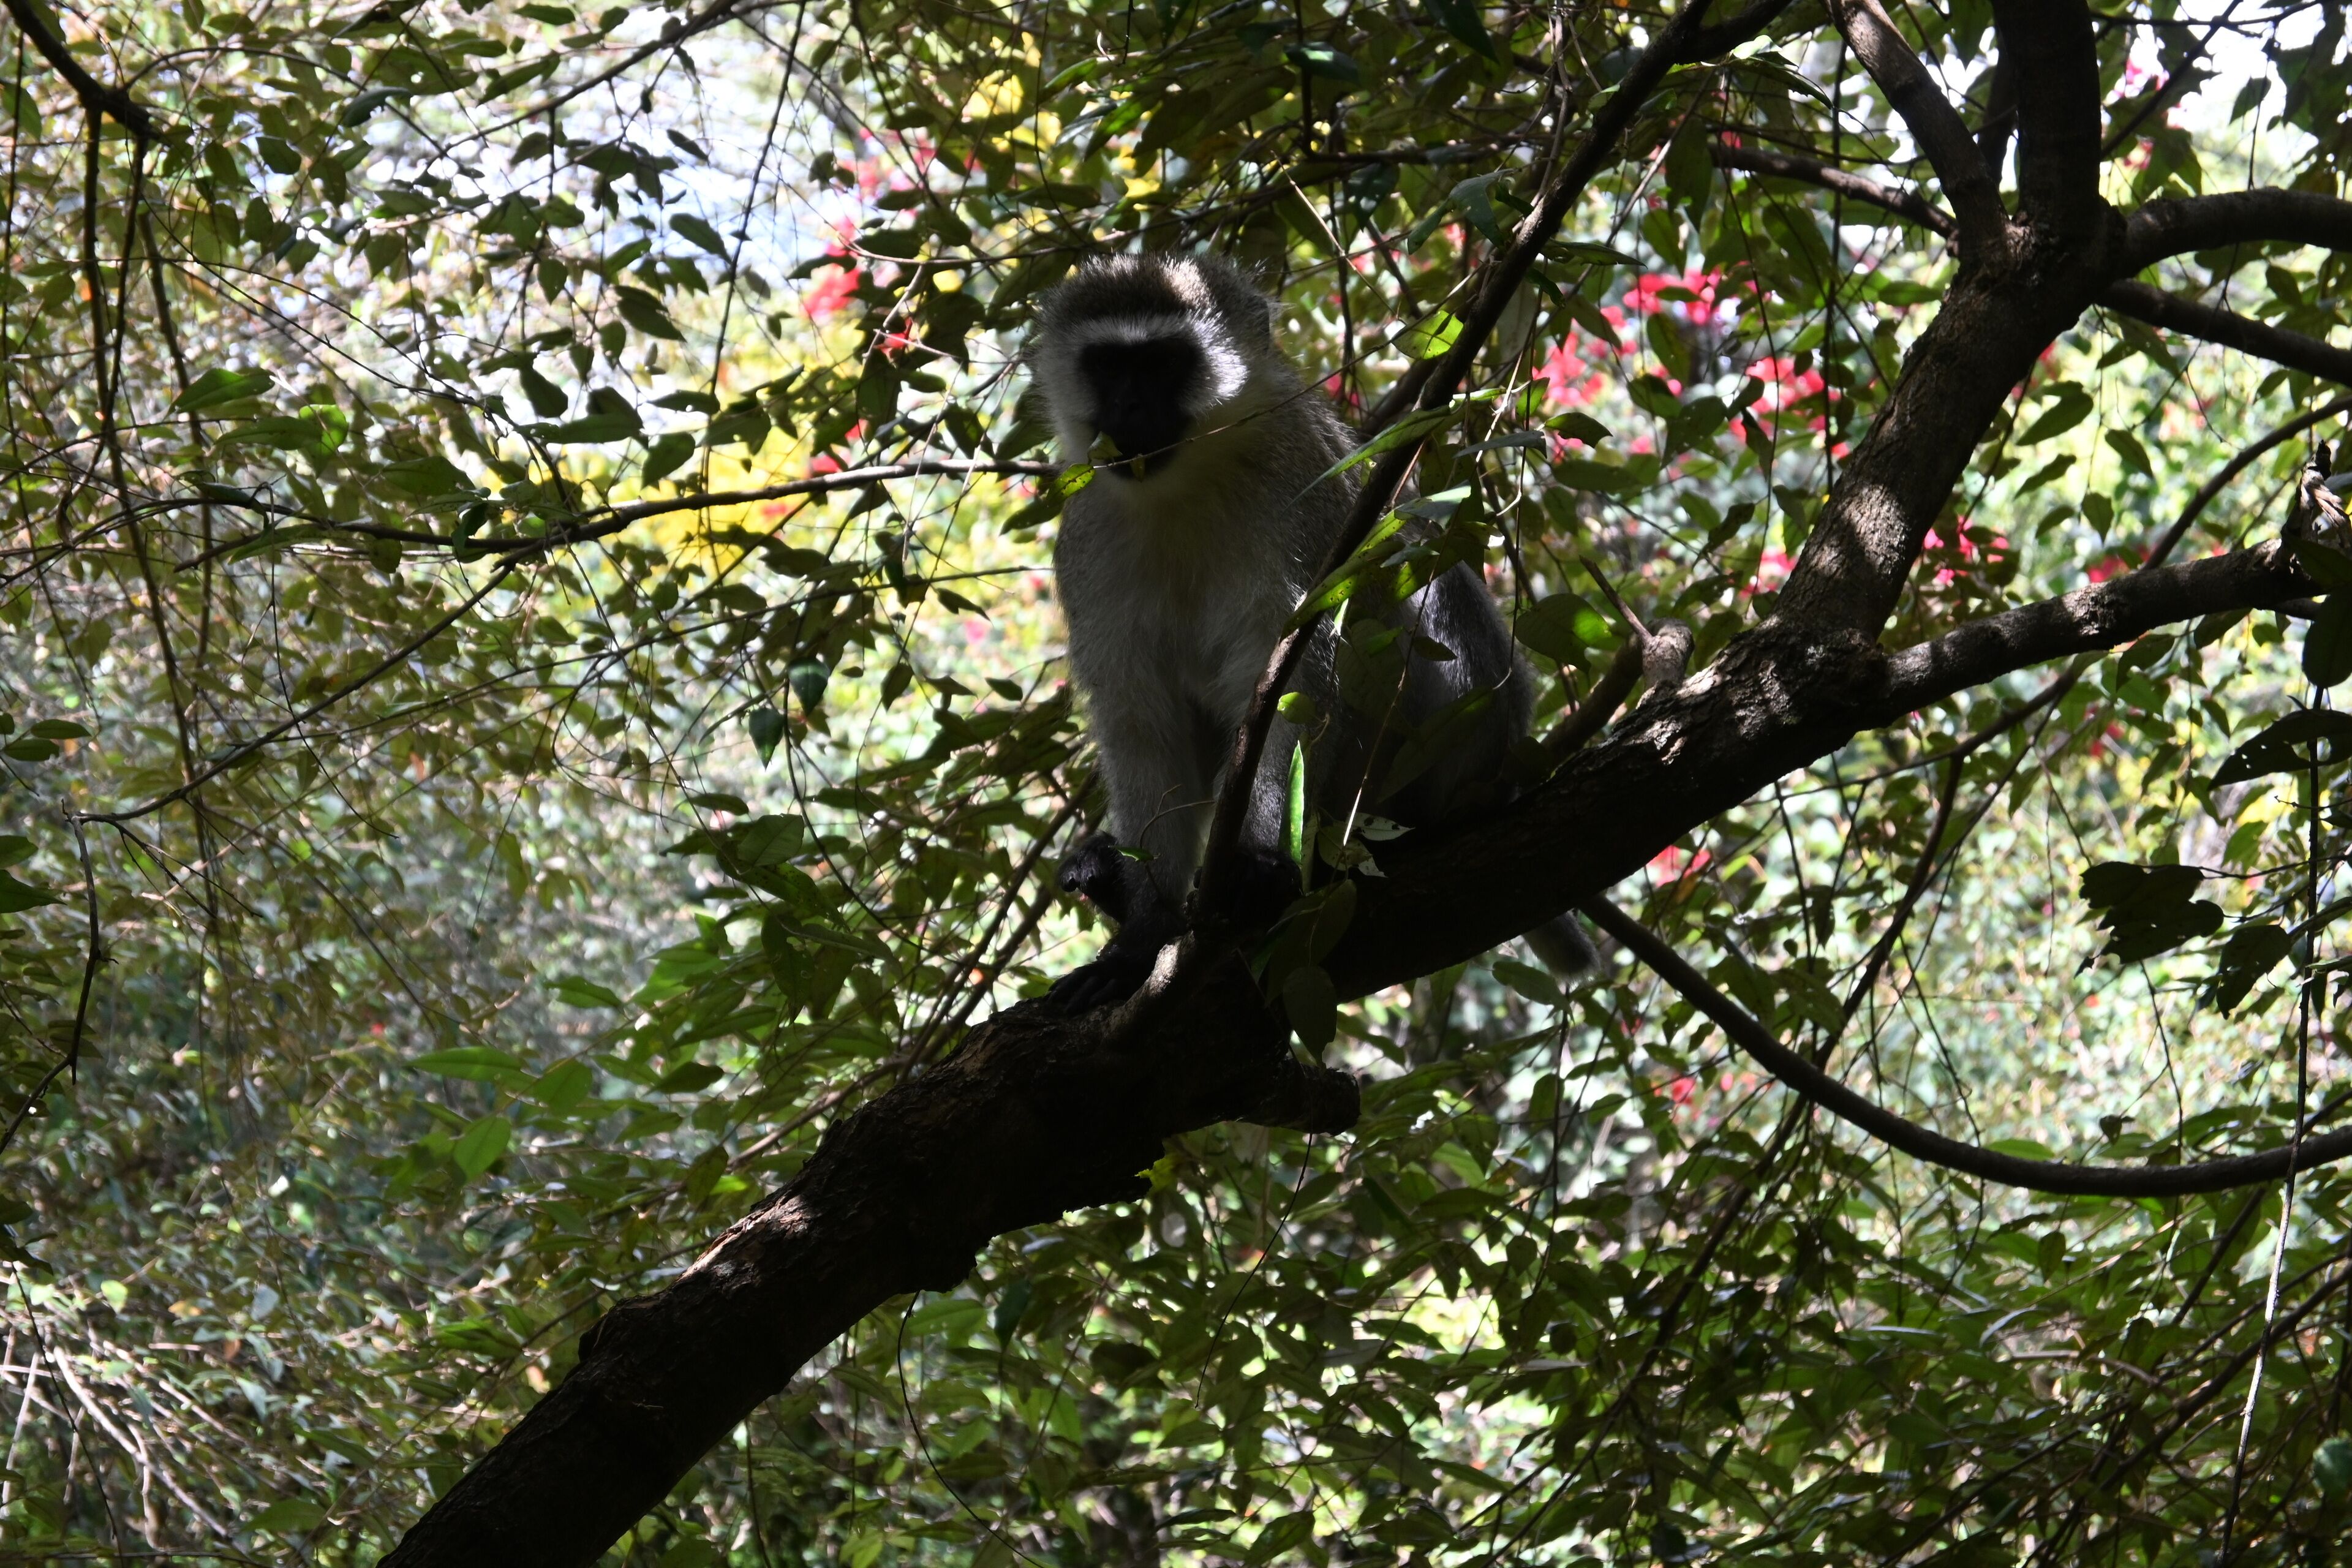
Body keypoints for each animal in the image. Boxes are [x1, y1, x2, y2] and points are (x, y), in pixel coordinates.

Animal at [1027, 251, 1594, 1011]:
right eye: (1111, 367)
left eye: (1166, 363)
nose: (1131, 411)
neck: (1184, 487)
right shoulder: (1087, 541)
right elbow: (1142, 723)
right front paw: (1143, 932)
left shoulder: (1306, 498)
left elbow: (1292, 680)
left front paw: (1261, 862)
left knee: (1417, 587)